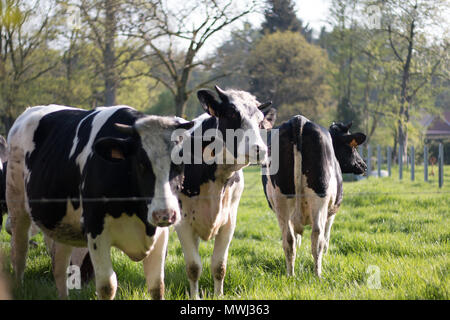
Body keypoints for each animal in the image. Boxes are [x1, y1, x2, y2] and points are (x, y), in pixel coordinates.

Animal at [5, 105, 193, 300]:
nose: (165, 214)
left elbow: (157, 286)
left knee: (59, 267)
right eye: (141, 163)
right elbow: (107, 286)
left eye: (180, 163)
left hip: (63, 225)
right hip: (16, 205)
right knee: (19, 254)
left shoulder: (160, 235)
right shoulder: (96, 230)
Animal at [177, 84, 276, 298]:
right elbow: (193, 267)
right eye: (231, 114)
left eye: (260, 121)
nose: (260, 149)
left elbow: (219, 266)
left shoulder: (229, 221)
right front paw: (195, 296)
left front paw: (218, 295)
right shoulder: (183, 223)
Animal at [262, 115, 368, 278]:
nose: (363, 165)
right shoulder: (331, 213)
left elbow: (296, 238)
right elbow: (326, 238)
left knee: (288, 241)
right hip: (320, 200)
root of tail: (299, 120)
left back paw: (290, 275)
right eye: (353, 147)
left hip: (281, 201)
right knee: (317, 238)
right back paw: (318, 275)